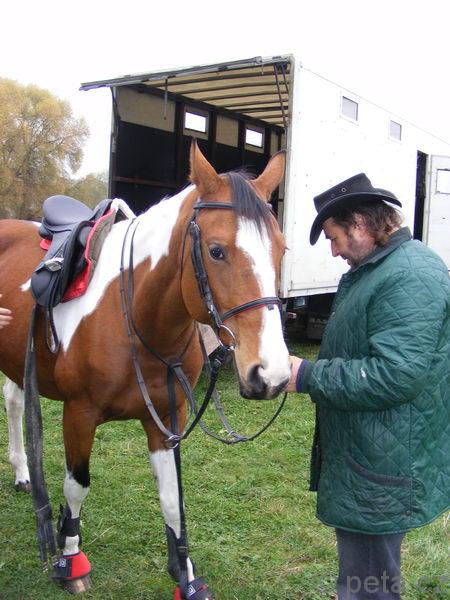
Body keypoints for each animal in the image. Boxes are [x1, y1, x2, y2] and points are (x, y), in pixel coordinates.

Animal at [0, 140, 290, 599]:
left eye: (281, 249)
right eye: (217, 250)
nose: (272, 374)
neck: (135, 314)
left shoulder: (167, 418)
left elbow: (172, 498)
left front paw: (184, 573)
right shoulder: (78, 414)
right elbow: (76, 485)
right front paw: (70, 559)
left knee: (14, 401)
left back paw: (22, 473)